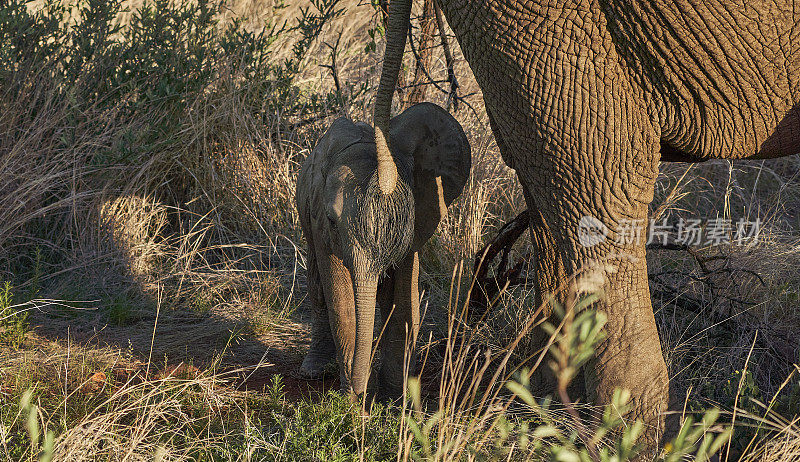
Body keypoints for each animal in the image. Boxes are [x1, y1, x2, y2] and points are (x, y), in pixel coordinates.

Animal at [294, 104, 468, 398]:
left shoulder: (416, 223)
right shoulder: (320, 222)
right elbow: (341, 300)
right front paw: (353, 400)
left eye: (401, 224)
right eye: (332, 220)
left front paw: (396, 396)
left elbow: (403, 301)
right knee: (317, 287)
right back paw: (314, 370)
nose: (360, 391)